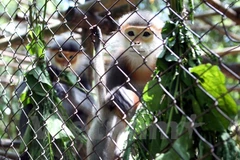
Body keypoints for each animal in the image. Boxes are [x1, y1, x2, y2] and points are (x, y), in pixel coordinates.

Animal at [87, 10, 164, 159]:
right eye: (131, 33)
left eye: (146, 34)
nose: (136, 42)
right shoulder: (119, 60)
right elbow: (101, 104)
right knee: (106, 111)